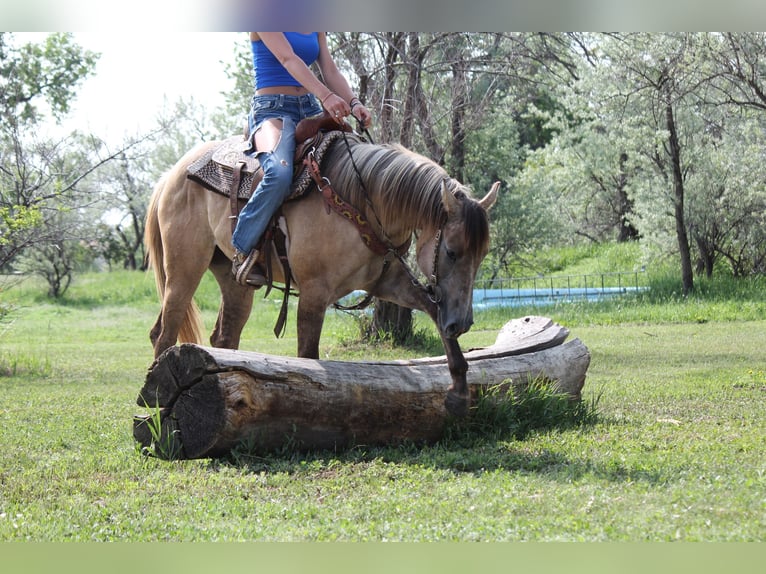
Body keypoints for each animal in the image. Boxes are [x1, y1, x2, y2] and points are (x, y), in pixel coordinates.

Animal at [144, 132, 499, 416]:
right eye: (451, 251)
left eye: (483, 254)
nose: (462, 322)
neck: (361, 201)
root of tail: (171, 175)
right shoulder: (314, 295)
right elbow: (307, 357)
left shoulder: (388, 282)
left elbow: (433, 310)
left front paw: (458, 391)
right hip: (184, 268)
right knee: (164, 332)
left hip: (235, 283)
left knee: (224, 337)